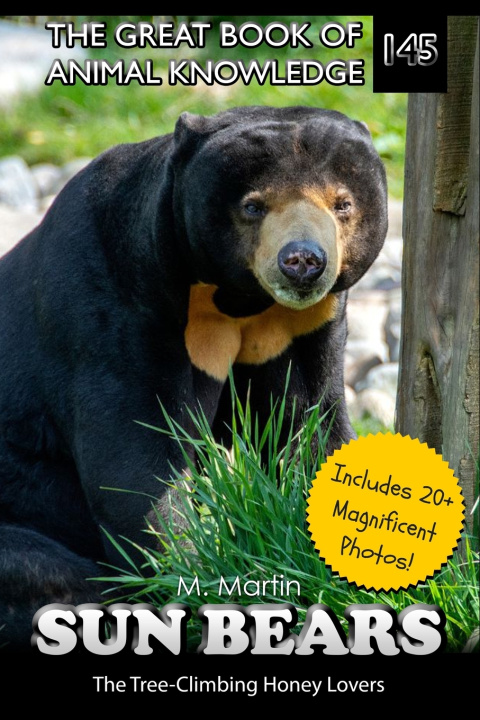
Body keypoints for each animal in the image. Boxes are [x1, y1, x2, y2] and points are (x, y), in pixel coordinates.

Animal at [0, 106, 388, 649]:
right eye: (253, 206)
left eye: (343, 203)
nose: (303, 261)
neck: (234, 301)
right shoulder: (111, 307)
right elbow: (135, 464)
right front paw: (198, 571)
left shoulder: (301, 330)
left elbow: (307, 426)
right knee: (42, 568)